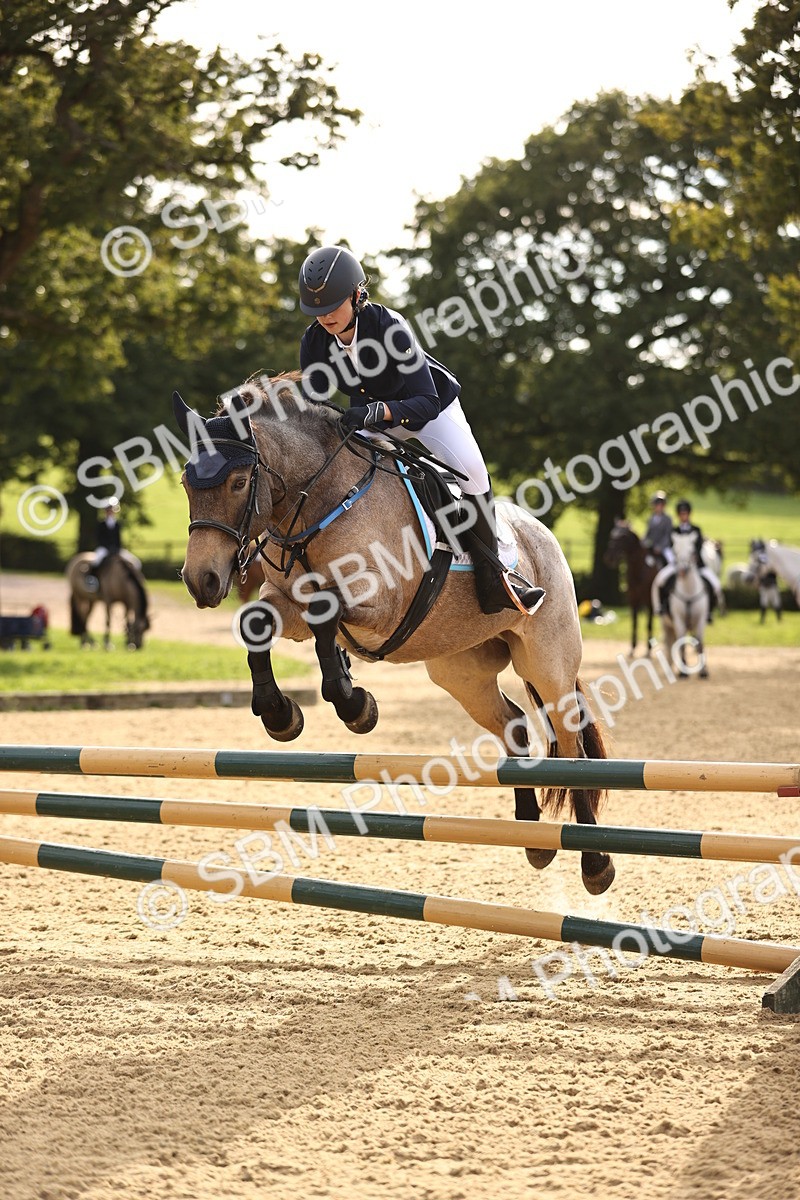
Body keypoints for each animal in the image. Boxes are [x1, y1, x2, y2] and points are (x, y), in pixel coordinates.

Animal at [173, 372, 616, 895]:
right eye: (186, 482)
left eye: (240, 482)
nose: (201, 581)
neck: (321, 501)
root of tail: (541, 532)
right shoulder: (287, 603)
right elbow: (256, 624)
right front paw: (281, 715)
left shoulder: (381, 604)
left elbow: (326, 615)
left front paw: (352, 703)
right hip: (460, 670)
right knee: (514, 724)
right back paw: (533, 838)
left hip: (547, 661)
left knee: (569, 744)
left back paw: (595, 864)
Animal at [602, 521, 659, 657]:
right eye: (612, 534)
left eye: (623, 536)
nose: (609, 558)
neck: (639, 569)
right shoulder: (633, 599)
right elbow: (634, 623)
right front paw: (632, 648)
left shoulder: (648, 600)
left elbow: (648, 624)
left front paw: (648, 649)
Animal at [660, 531, 709, 679]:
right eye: (675, 551)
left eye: (691, 550)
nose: (682, 570)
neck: (688, 591)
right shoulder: (679, 620)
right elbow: (680, 644)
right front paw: (683, 672)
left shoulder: (700, 620)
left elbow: (700, 643)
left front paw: (703, 671)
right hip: (665, 623)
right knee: (669, 642)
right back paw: (671, 667)